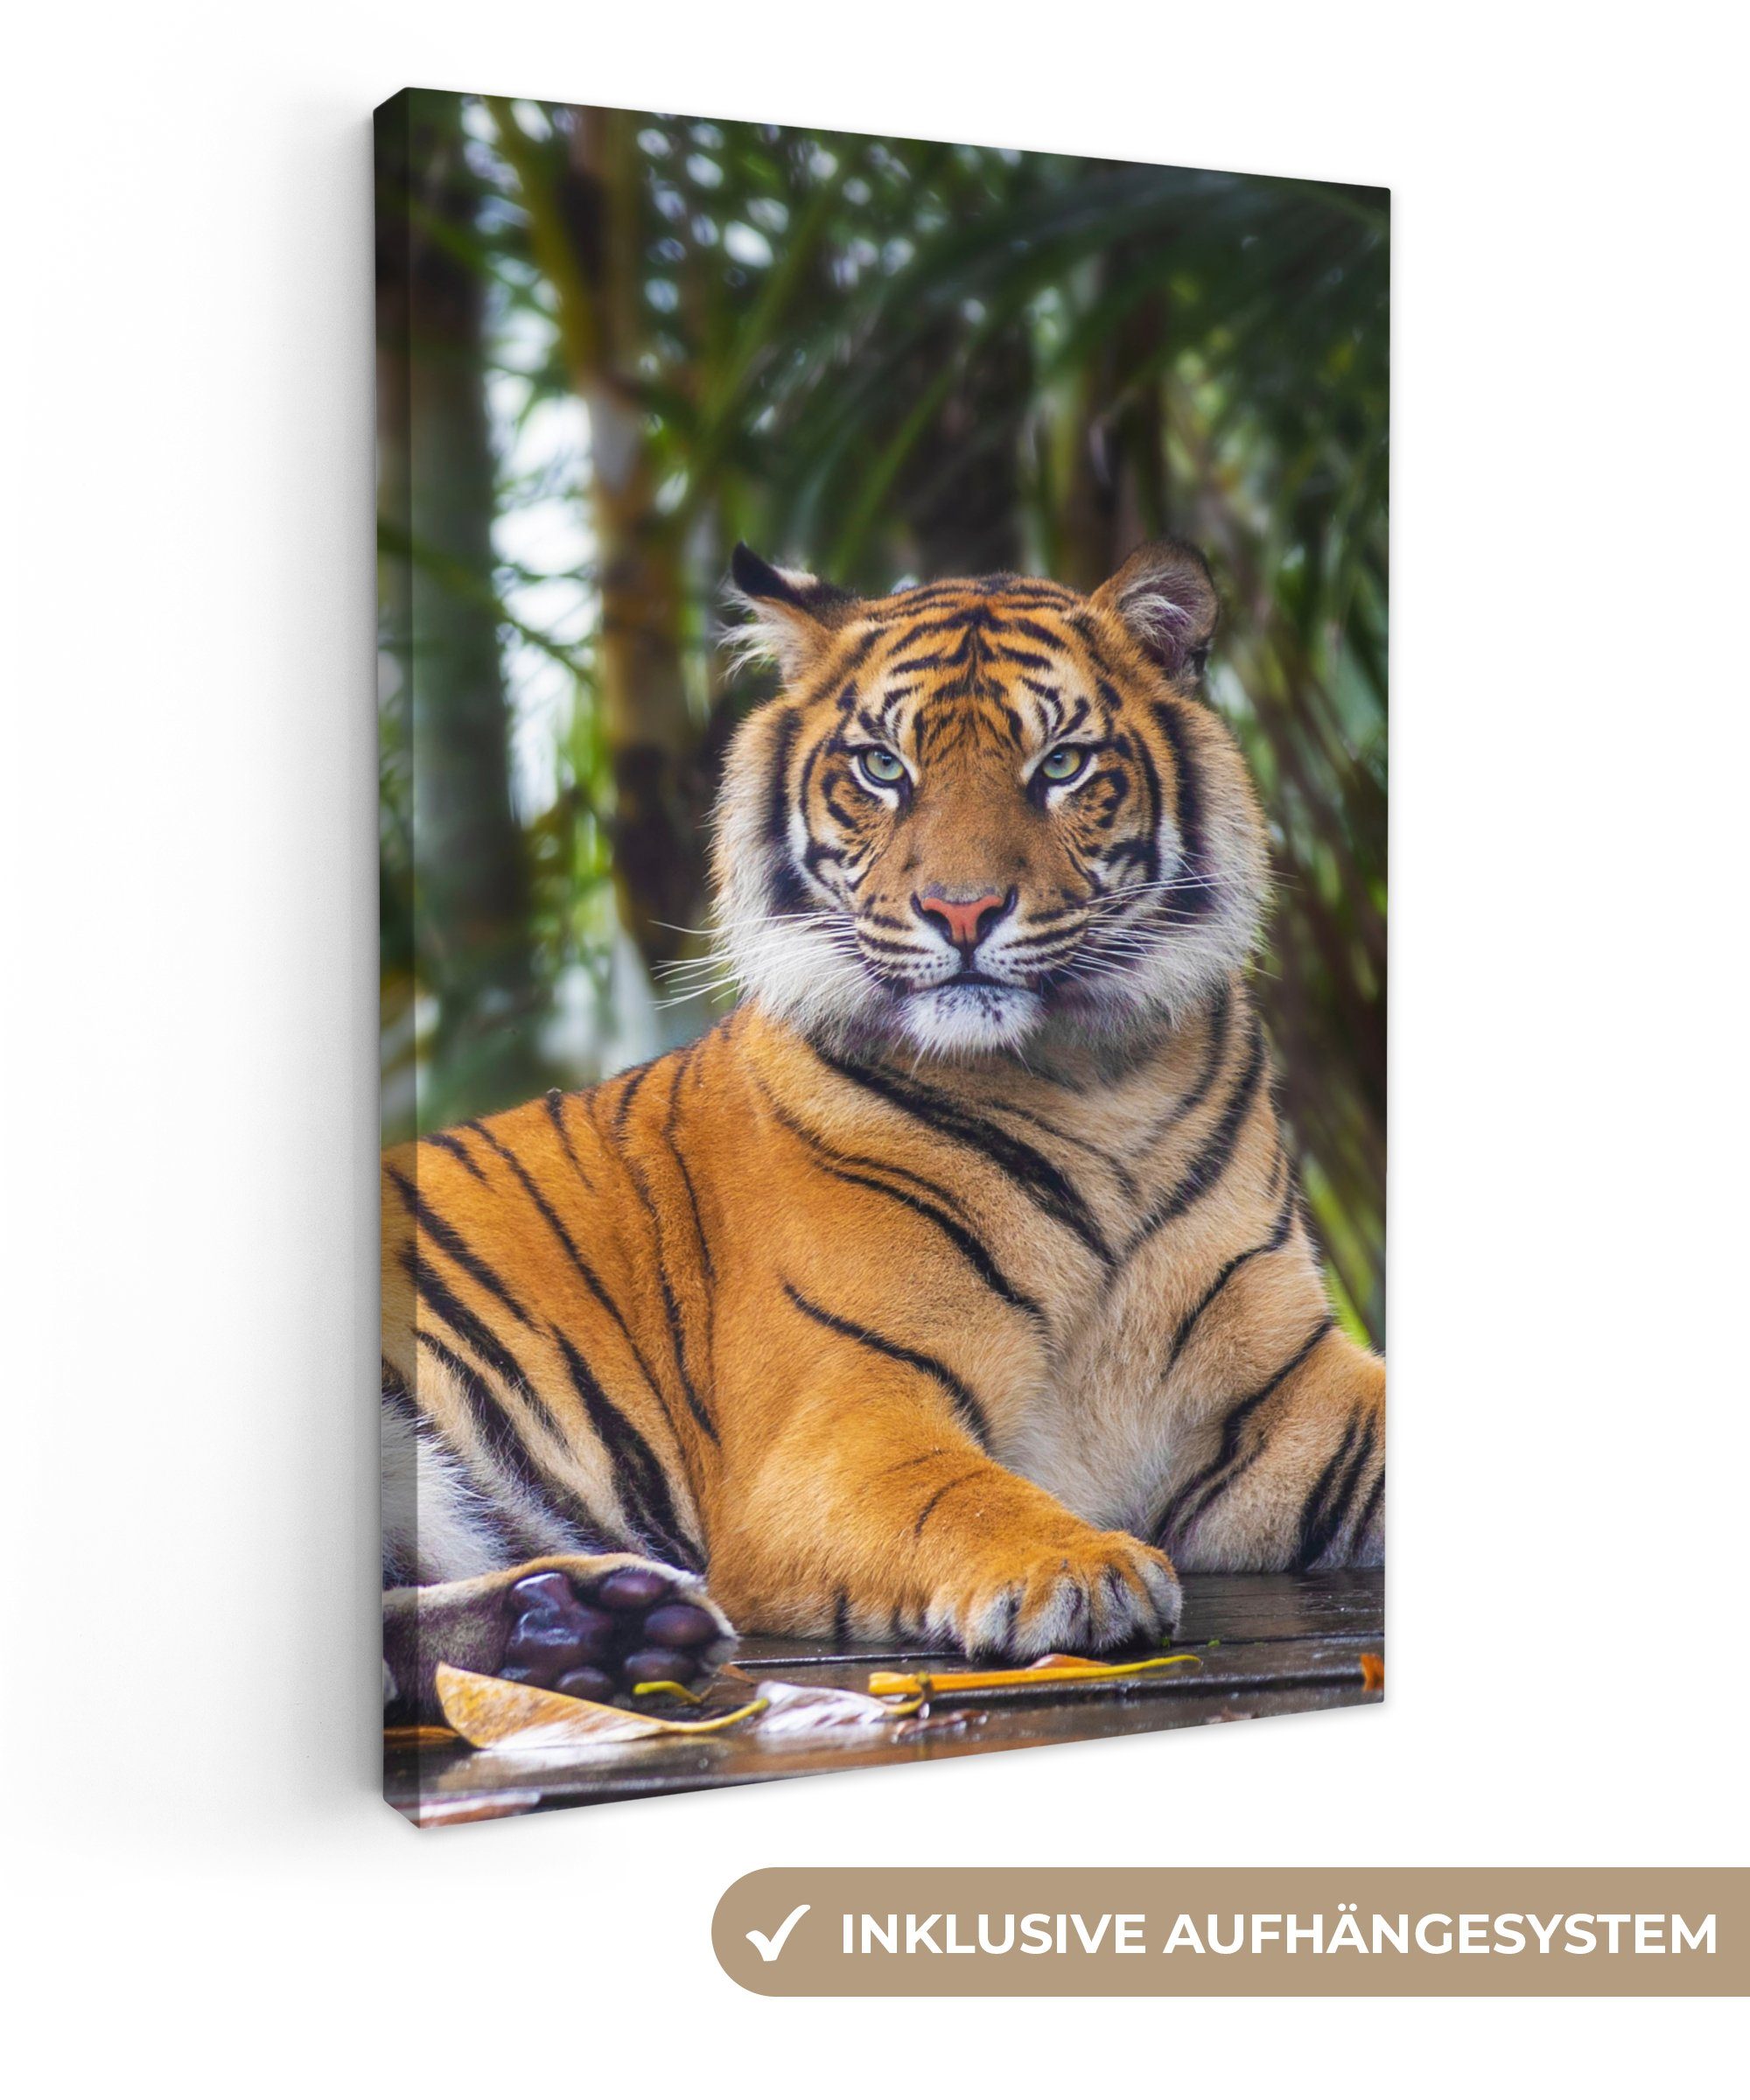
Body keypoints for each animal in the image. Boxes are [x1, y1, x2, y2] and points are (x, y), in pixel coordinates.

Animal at [381, 536, 1384, 1717]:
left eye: (1059, 766)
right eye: (880, 768)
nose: (961, 910)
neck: (1093, 1084)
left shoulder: (1281, 1389)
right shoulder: (841, 1416)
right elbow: (951, 1488)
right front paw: (1075, 1566)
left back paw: (588, 1629)